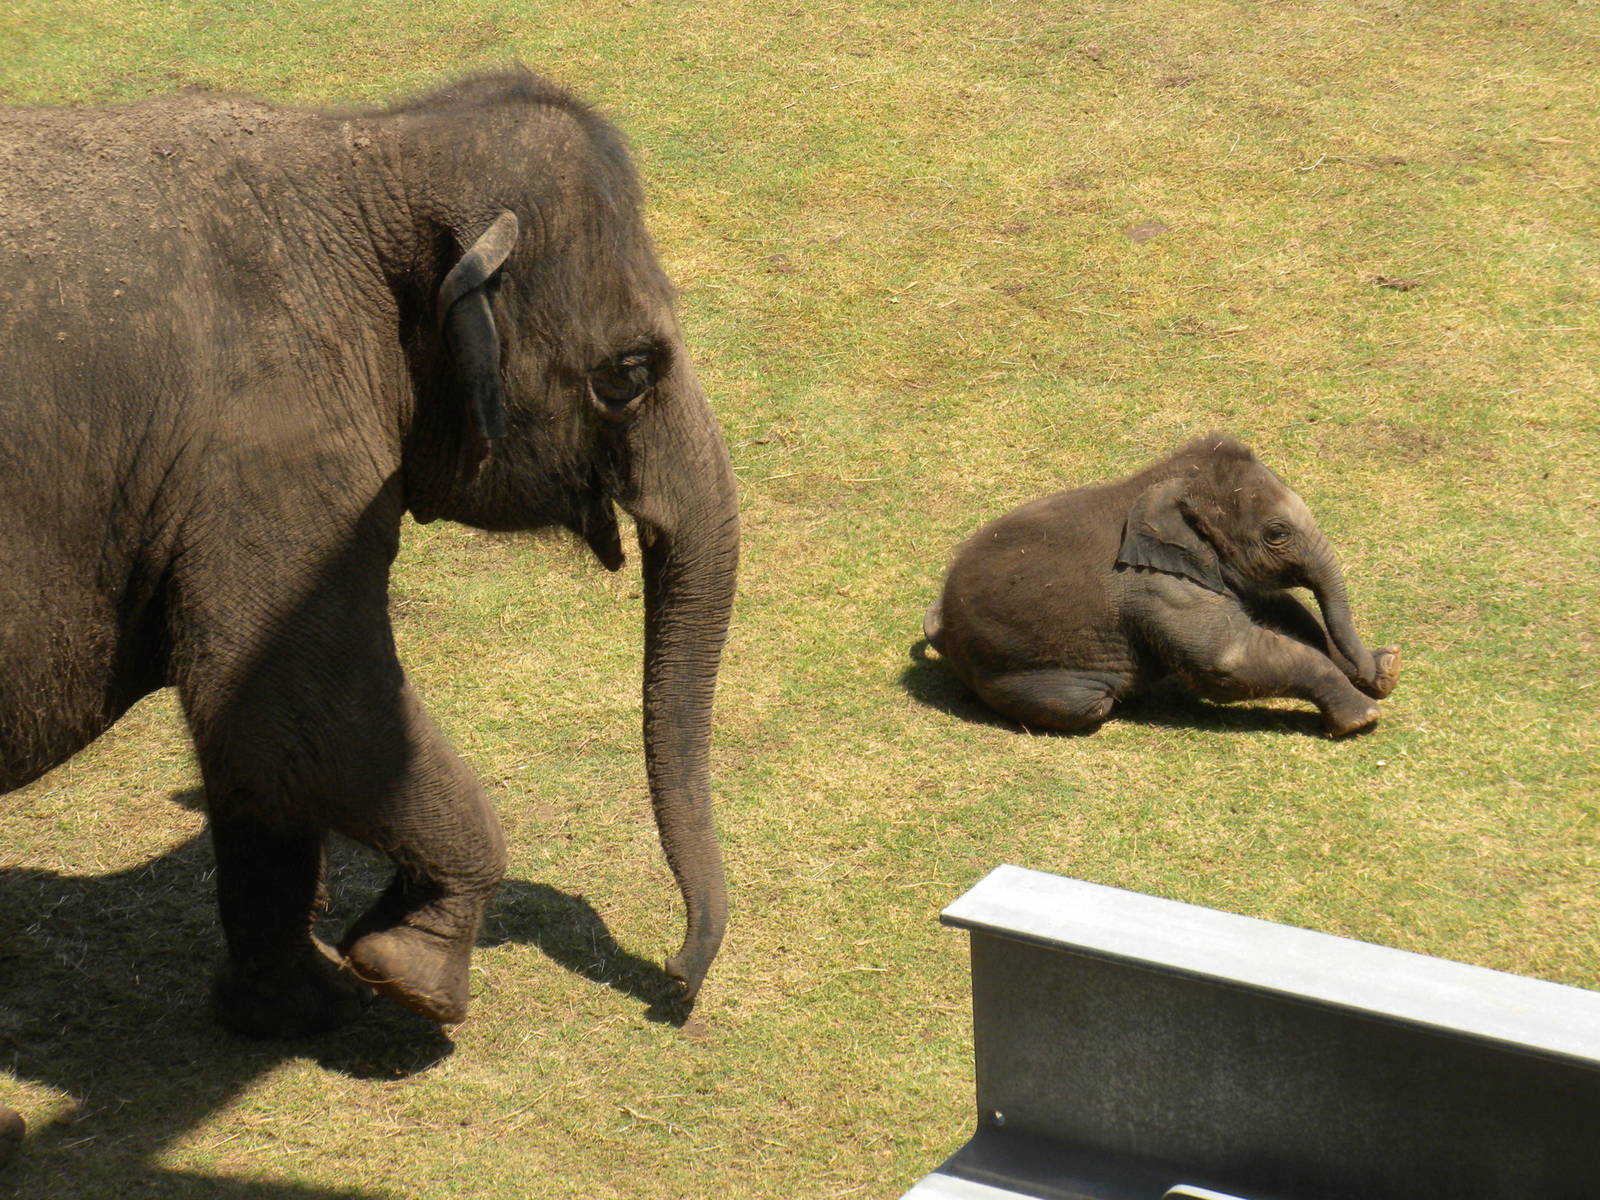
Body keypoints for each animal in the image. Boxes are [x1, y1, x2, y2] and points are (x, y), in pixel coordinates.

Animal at [0, 68, 739, 1037]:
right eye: (629, 372)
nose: (677, 987)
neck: (366, 155)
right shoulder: (270, 448)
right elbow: (293, 700)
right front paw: (410, 979)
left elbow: (258, 745)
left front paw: (301, 1005)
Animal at [923, 434, 1400, 736]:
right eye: (1276, 533)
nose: (1371, 671)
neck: (1157, 479)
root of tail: (943, 624)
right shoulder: (1156, 585)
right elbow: (1225, 660)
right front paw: (1363, 718)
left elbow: (1281, 608)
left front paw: (1387, 670)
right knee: (1089, 705)